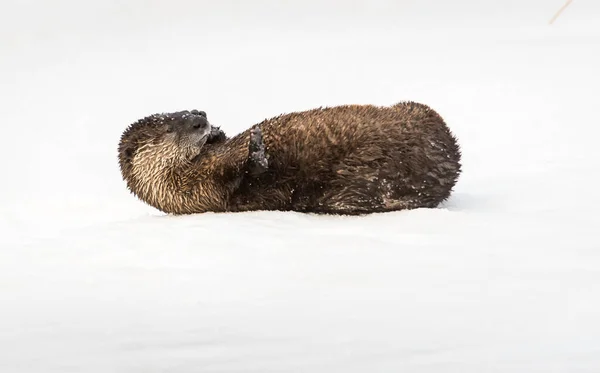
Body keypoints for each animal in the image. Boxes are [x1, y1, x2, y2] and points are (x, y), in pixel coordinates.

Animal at [118, 101, 464, 215]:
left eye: (184, 111)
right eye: (170, 127)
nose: (200, 119)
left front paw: (219, 133)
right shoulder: (200, 192)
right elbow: (243, 180)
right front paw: (255, 149)